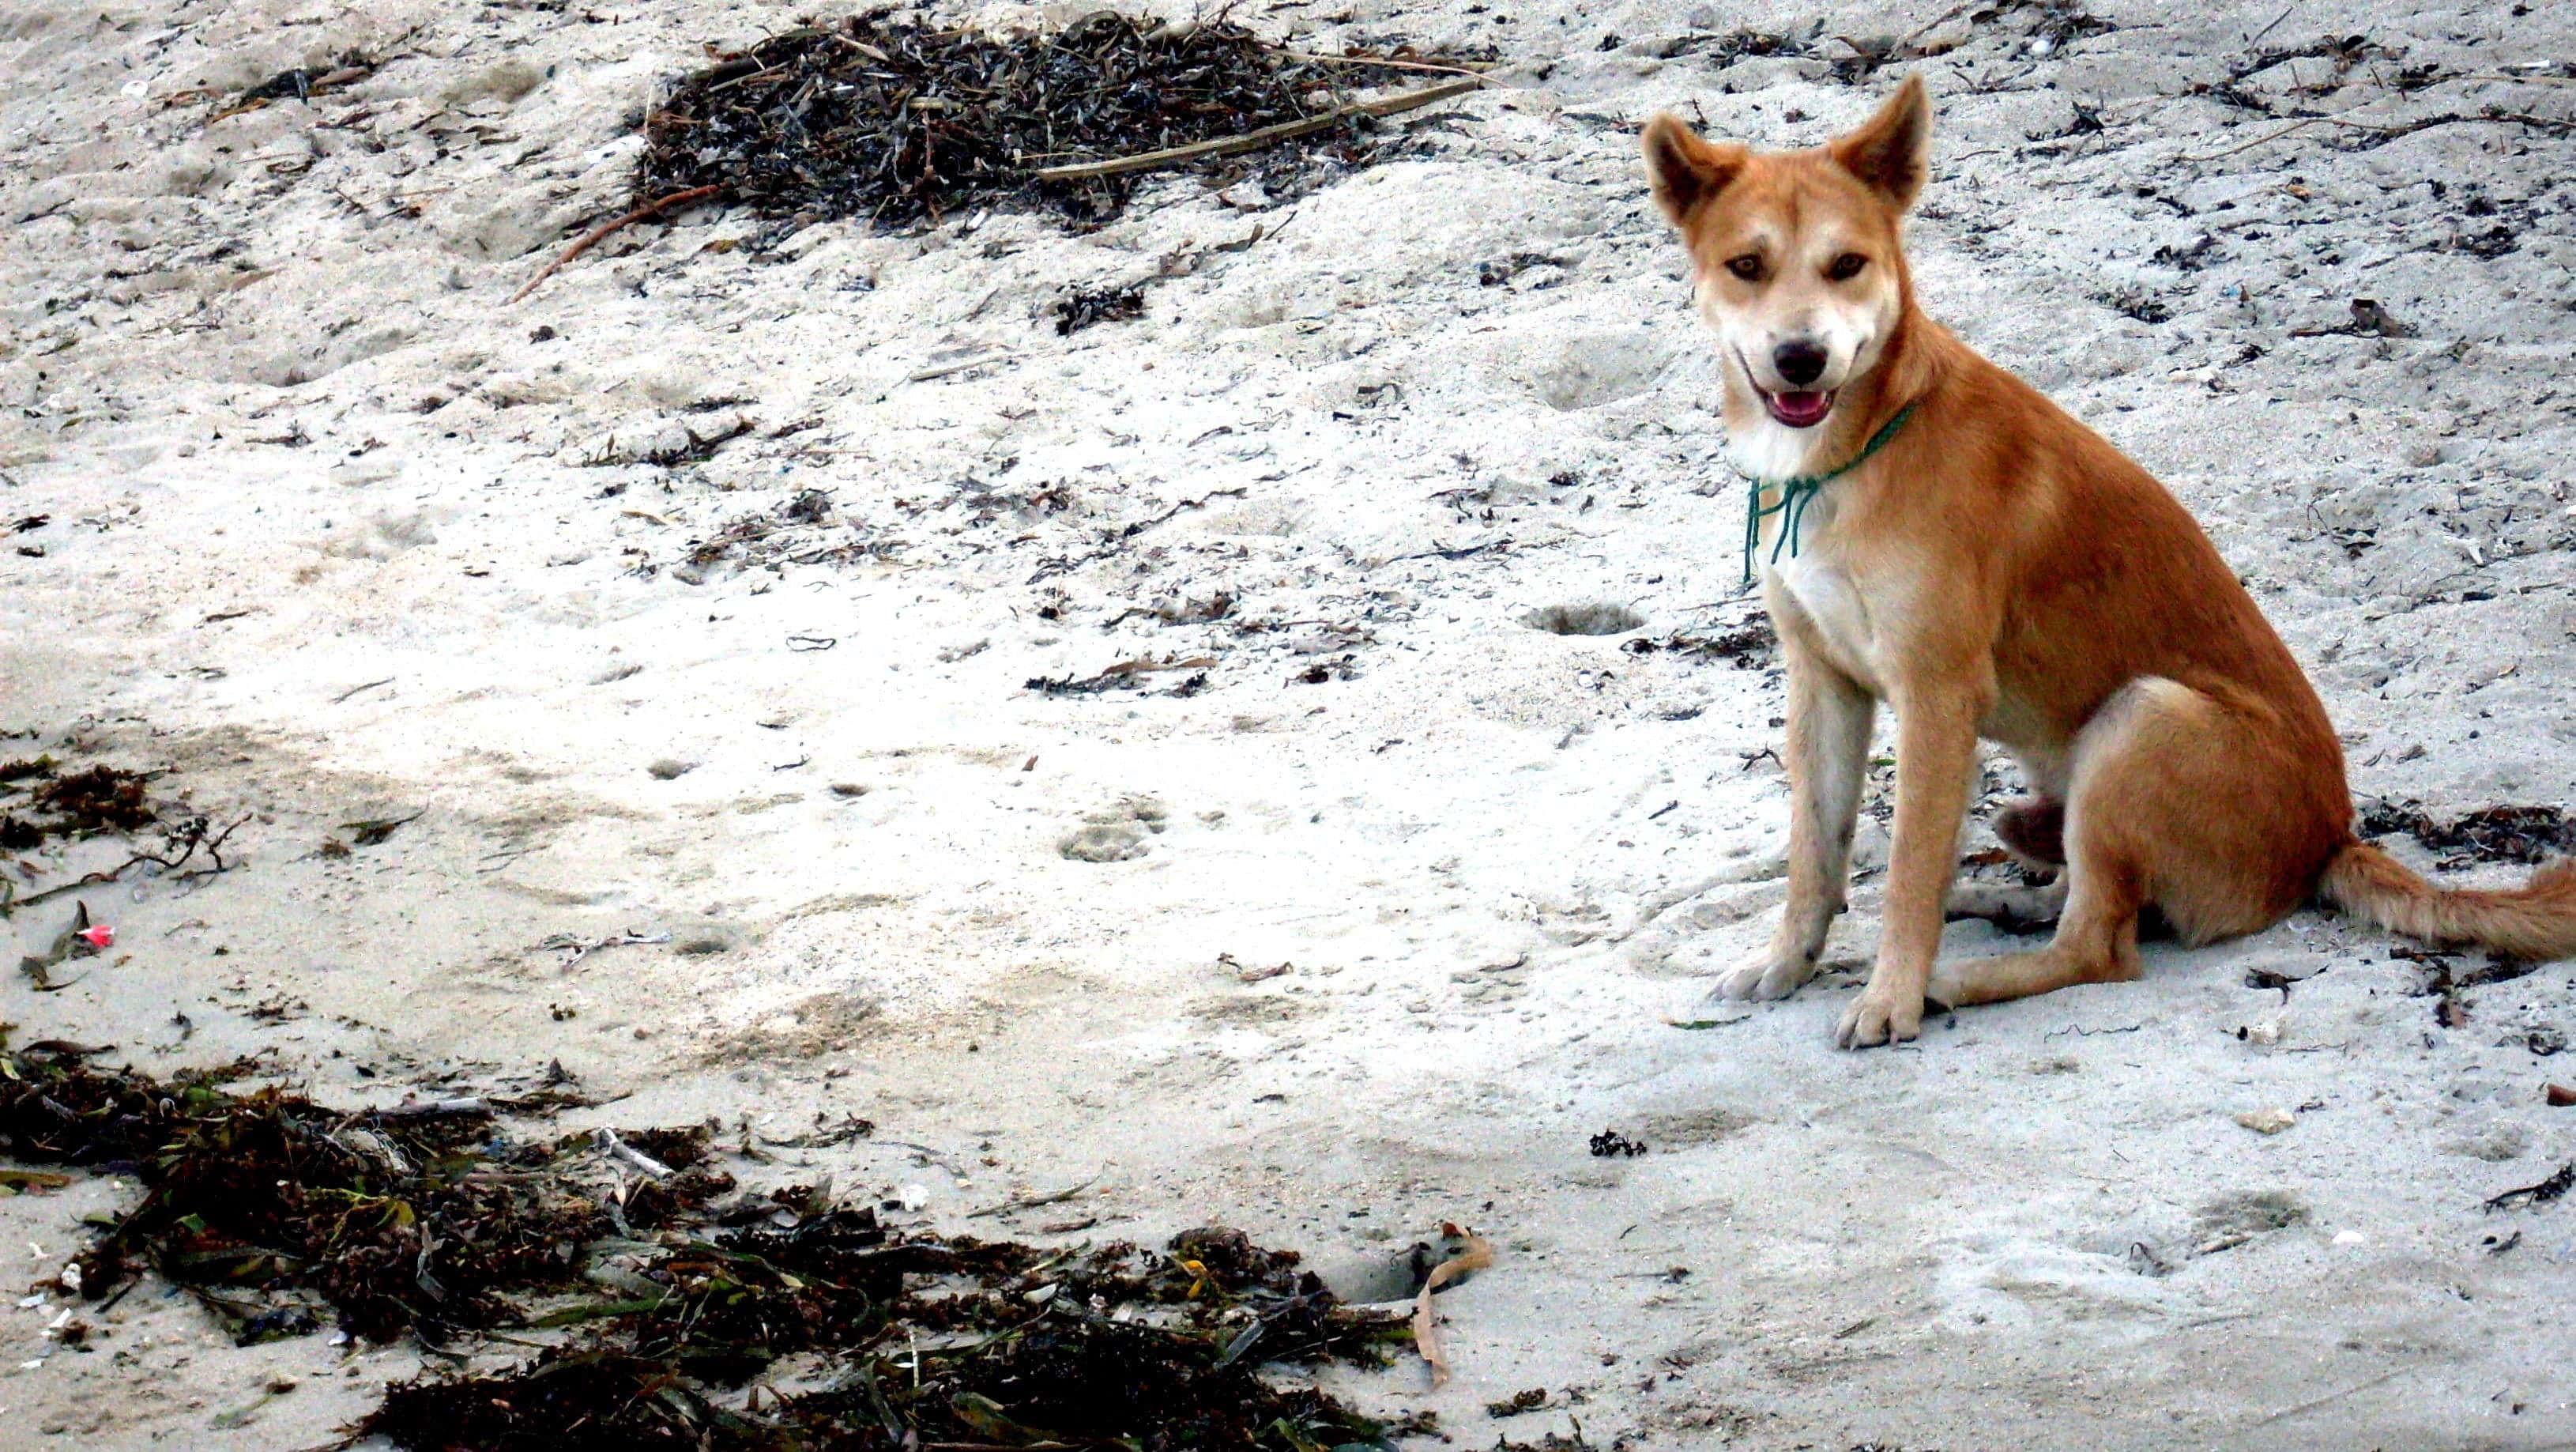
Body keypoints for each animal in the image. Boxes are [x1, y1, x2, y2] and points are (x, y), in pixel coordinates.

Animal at [1641, 76, 2576, 1048]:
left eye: (1846, 265)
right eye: (1747, 266)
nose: (1800, 358)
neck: (1855, 449)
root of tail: (2330, 836)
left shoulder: (1936, 695)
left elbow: (1904, 877)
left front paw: (1890, 995)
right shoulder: (1824, 682)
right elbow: (1813, 855)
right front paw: (1787, 961)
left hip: (2140, 719)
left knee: (2100, 948)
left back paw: (1956, 980)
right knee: (2083, 902)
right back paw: (1997, 902)